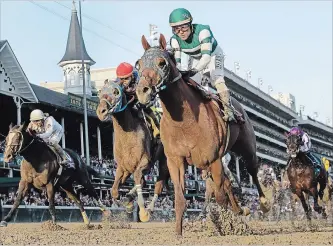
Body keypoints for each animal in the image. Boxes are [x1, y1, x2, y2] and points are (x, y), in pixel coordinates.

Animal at [95, 80, 169, 222]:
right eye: (100, 92)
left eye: (115, 92)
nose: (101, 111)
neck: (127, 134)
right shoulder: (122, 166)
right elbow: (114, 190)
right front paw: (125, 203)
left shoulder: (144, 161)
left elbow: (138, 179)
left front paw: (143, 212)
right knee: (144, 181)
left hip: (165, 159)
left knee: (159, 184)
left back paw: (150, 208)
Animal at [135, 33, 270, 235]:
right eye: (139, 64)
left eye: (161, 63)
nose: (142, 91)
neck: (185, 122)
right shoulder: (175, 160)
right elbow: (180, 199)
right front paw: (178, 233)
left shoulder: (213, 159)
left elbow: (220, 197)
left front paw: (226, 227)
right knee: (227, 184)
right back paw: (240, 209)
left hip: (247, 149)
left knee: (252, 171)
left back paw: (263, 204)